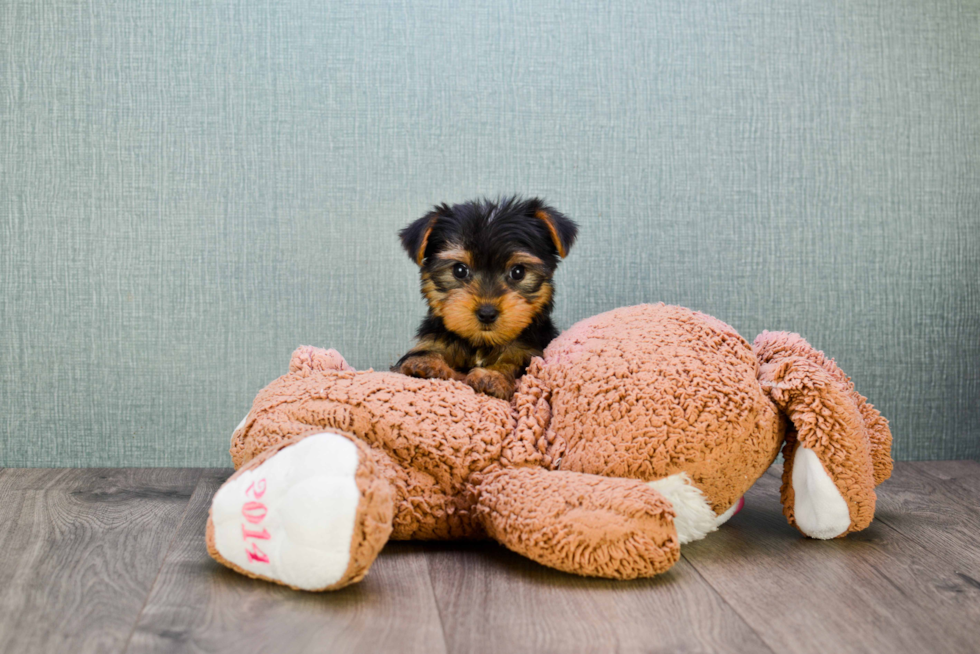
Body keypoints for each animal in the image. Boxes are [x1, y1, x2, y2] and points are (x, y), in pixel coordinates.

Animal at [390, 196, 576, 400]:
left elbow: (513, 363)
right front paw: (425, 362)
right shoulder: (433, 339)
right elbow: (429, 352)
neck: (482, 343)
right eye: (459, 270)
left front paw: (492, 376)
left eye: (518, 272)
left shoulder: (530, 352)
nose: (487, 313)